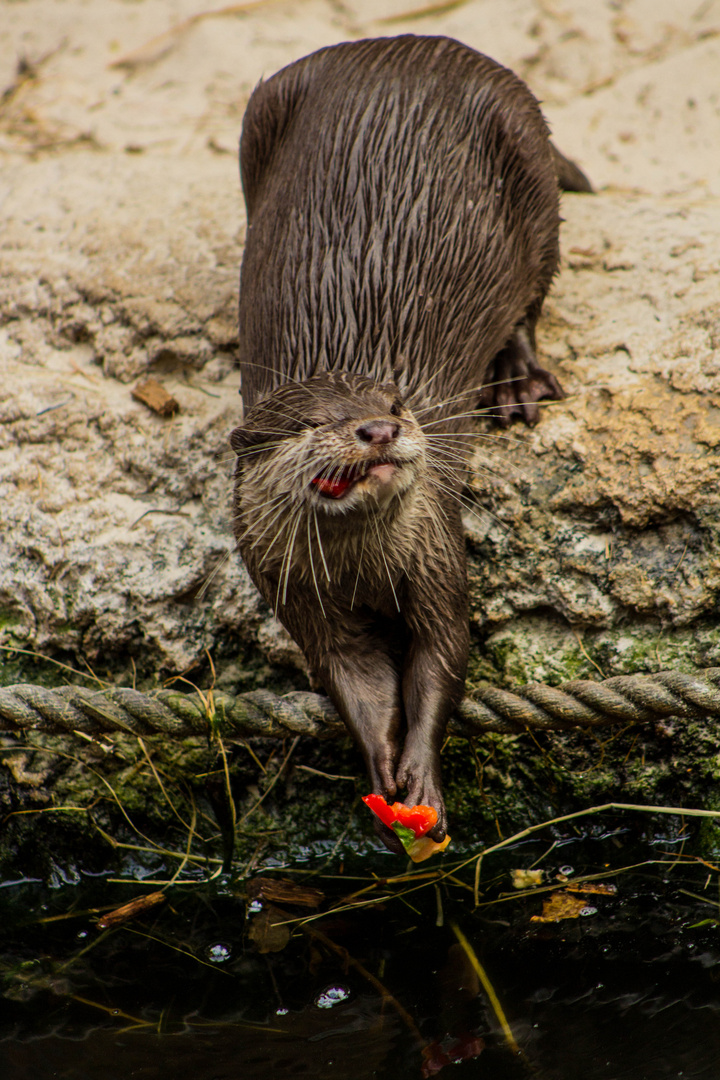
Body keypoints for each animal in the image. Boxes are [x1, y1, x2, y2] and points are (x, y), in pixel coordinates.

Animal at [231, 35, 591, 851]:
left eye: (393, 402)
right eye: (311, 424)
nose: (380, 427)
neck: (360, 569)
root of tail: (406, 45)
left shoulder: (436, 551)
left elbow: (443, 653)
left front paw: (422, 778)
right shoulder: (291, 589)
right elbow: (354, 681)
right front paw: (380, 770)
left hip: (525, 149)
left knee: (535, 290)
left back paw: (519, 382)